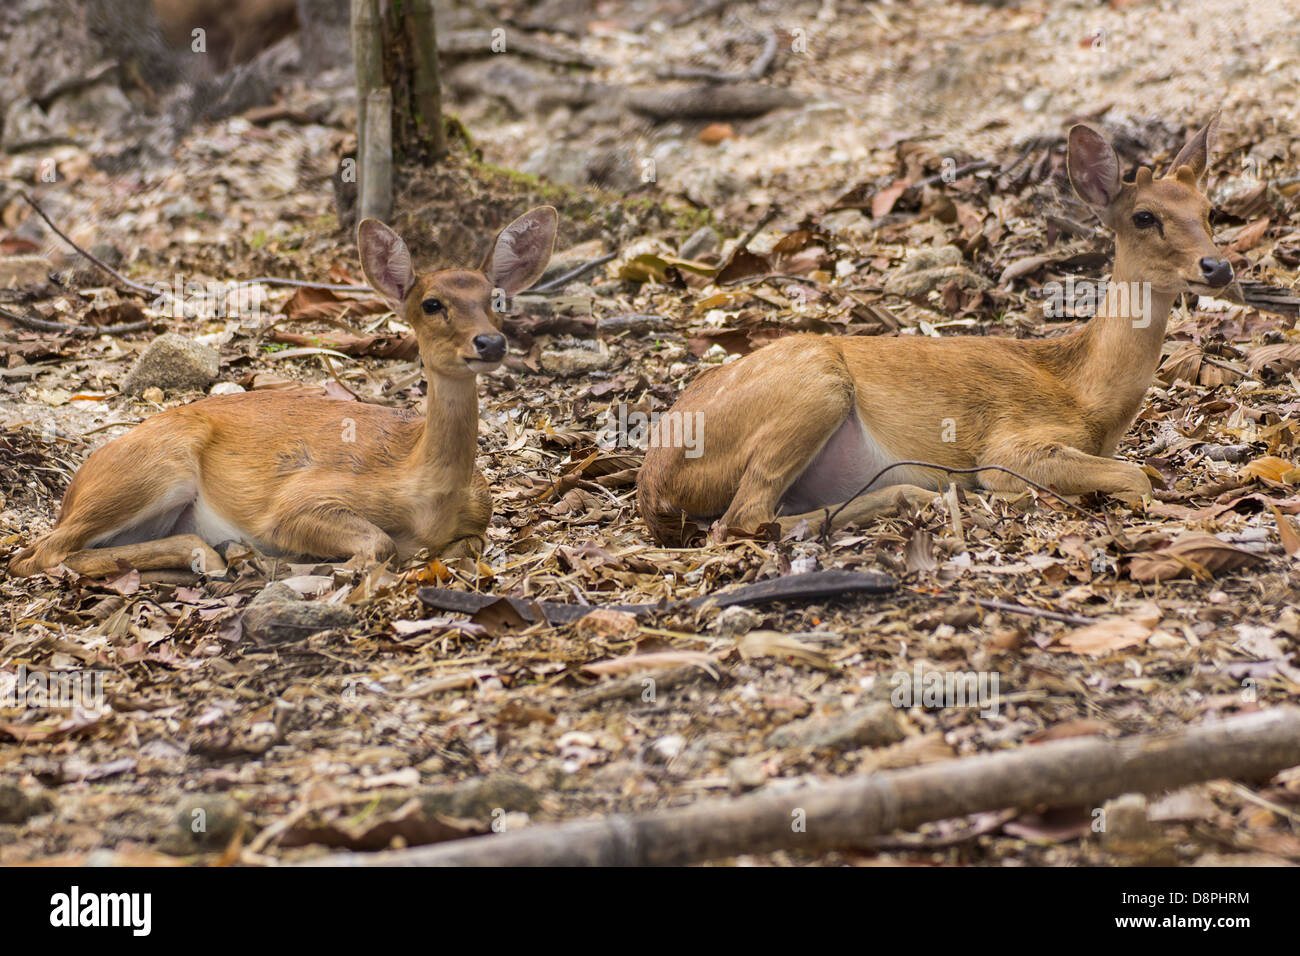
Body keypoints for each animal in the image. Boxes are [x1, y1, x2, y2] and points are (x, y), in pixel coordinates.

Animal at [10, 208, 559, 574]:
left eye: (496, 299)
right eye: (431, 303)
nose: (490, 342)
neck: (424, 494)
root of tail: (73, 489)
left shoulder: (479, 515)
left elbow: (467, 545)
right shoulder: (300, 499)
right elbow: (378, 542)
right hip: (154, 467)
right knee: (40, 553)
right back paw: (214, 555)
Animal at [637, 115, 1227, 546]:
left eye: (1210, 210)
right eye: (1144, 216)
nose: (1217, 265)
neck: (1086, 396)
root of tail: (652, 486)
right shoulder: (1010, 445)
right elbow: (1136, 476)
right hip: (814, 386)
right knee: (739, 519)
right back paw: (923, 496)